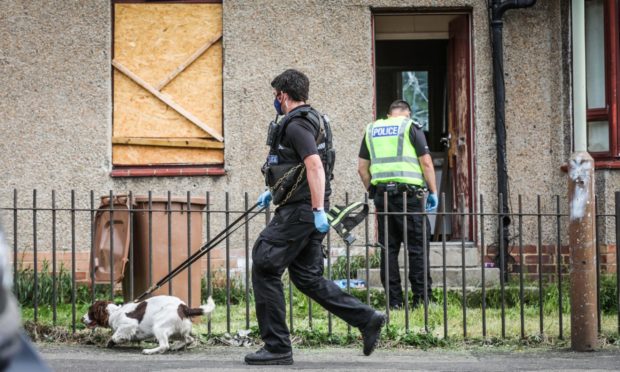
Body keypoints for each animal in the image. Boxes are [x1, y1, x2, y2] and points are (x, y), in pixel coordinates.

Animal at [82, 296, 214, 354]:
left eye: (90, 311)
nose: (81, 318)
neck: (114, 313)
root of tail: (184, 308)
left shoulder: (129, 324)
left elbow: (115, 336)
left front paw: (114, 341)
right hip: (177, 330)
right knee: (190, 339)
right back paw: (176, 346)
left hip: (159, 326)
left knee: (164, 346)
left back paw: (149, 351)